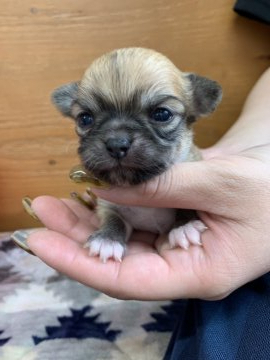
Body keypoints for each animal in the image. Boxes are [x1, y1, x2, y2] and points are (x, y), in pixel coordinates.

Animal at [51, 47, 221, 262]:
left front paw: (184, 226)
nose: (116, 144)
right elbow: (113, 219)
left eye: (162, 114)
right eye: (85, 118)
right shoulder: (109, 206)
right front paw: (107, 239)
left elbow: (187, 205)